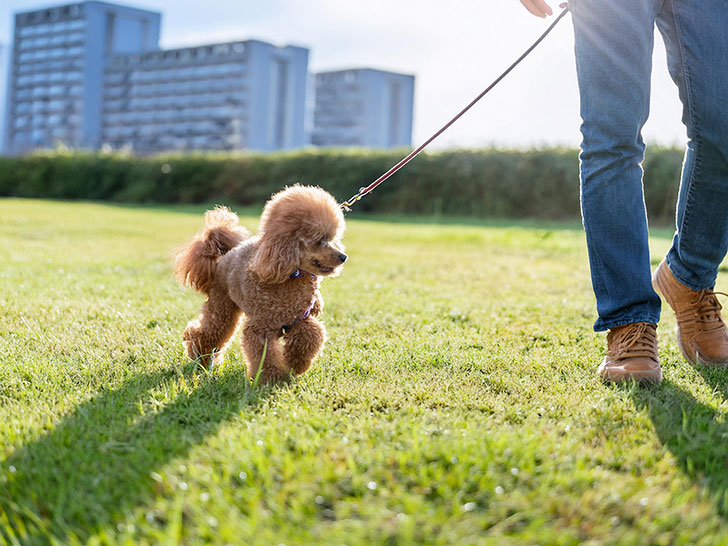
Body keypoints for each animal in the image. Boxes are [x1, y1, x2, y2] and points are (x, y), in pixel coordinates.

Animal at [175, 185, 348, 380]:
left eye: (332, 238)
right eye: (320, 240)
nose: (343, 257)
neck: (291, 275)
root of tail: (226, 255)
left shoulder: (299, 320)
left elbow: (311, 334)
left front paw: (296, 366)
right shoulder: (261, 328)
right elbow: (264, 356)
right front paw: (272, 379)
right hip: (222, 307)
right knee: (208, 332)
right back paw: (198, 355)